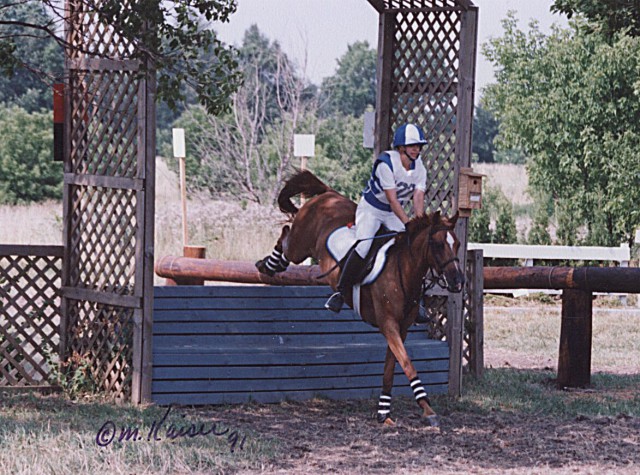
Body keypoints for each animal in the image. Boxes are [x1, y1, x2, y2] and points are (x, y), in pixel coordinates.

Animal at [256, 172, 464, 428]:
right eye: (437, 244)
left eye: (457, 244)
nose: (457, 281)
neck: (402, 270)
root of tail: (329, 194)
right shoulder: (388, 325)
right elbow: (407, 364)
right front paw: (427, 409)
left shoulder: (401, 328)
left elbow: (391, 367)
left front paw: (384, 411)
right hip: (300, 245)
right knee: (286, 236)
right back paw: (268, 264)